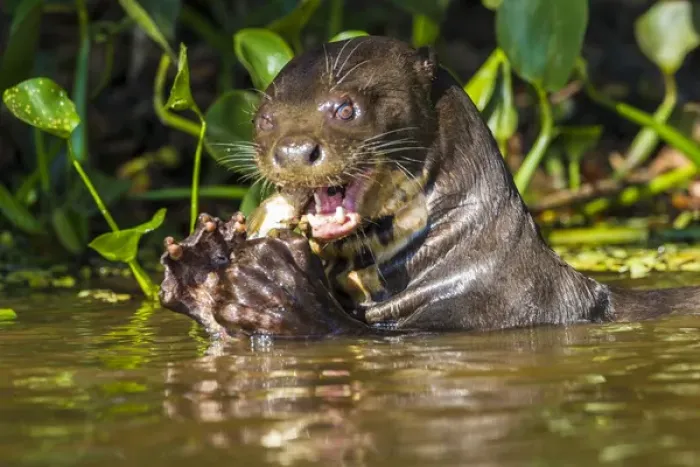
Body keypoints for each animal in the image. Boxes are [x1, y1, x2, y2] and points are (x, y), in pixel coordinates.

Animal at [158, 36, 700, 339]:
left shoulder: (487, 313)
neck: (460, 257)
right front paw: (200, 263)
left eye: (345, 107)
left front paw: (273, 285)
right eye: (264, 119)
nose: (292, 150)